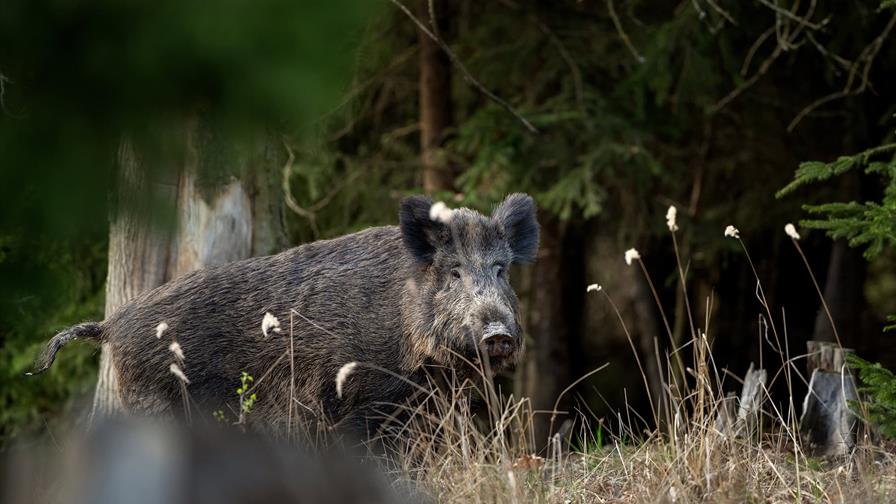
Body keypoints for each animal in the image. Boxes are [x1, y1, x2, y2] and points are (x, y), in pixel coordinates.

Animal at [31, 194, 540, 438]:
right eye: (453, 272)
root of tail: (111, 325)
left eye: (501, 269)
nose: (497, 333)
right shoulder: (359, 401)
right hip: (153, 402)